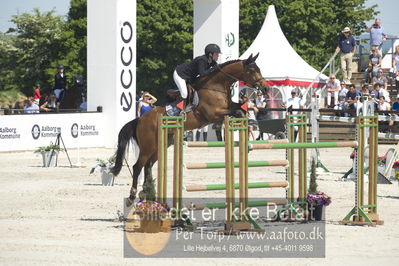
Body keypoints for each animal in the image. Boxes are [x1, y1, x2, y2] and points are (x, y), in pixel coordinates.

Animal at [111, 52, 266, 206]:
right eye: (252, 70)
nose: (265, 88)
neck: (216, 86)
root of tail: (140, 119)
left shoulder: (229, 107)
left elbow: (241, 110)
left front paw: (249, 143)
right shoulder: (213, 114)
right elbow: (238, 112)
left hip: (161, 144)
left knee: (148, 166)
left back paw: (147, 194)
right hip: (147, 146)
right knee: (137, 166)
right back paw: (132, 196)